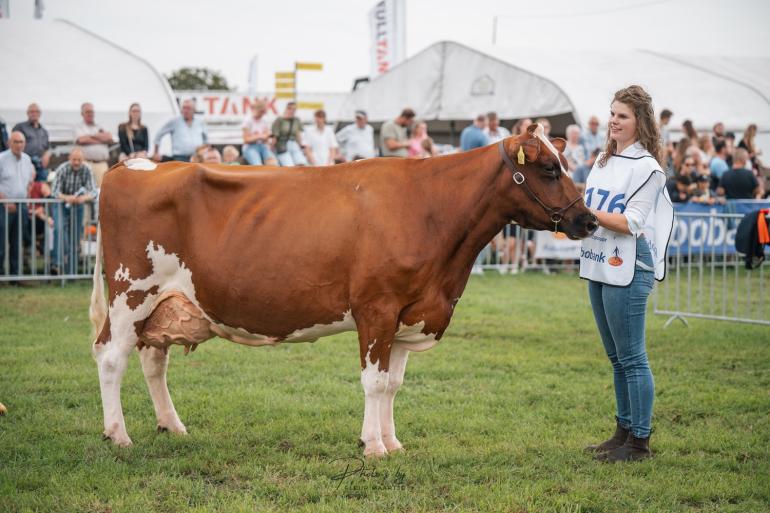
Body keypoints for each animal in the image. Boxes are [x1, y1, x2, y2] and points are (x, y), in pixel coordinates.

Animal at [90, 124, 597, 457]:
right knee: (111, 357)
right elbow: (373, 381)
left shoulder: (409, 312)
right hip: (130, 294)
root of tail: (133, 164)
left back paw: (171, 425)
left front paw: (393, 442)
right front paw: (372, 445)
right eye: (549, 169)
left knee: (153, 360)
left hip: (163, 303)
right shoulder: (377, 307)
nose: (588, 220)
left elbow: (393, 384)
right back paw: (117, 434)